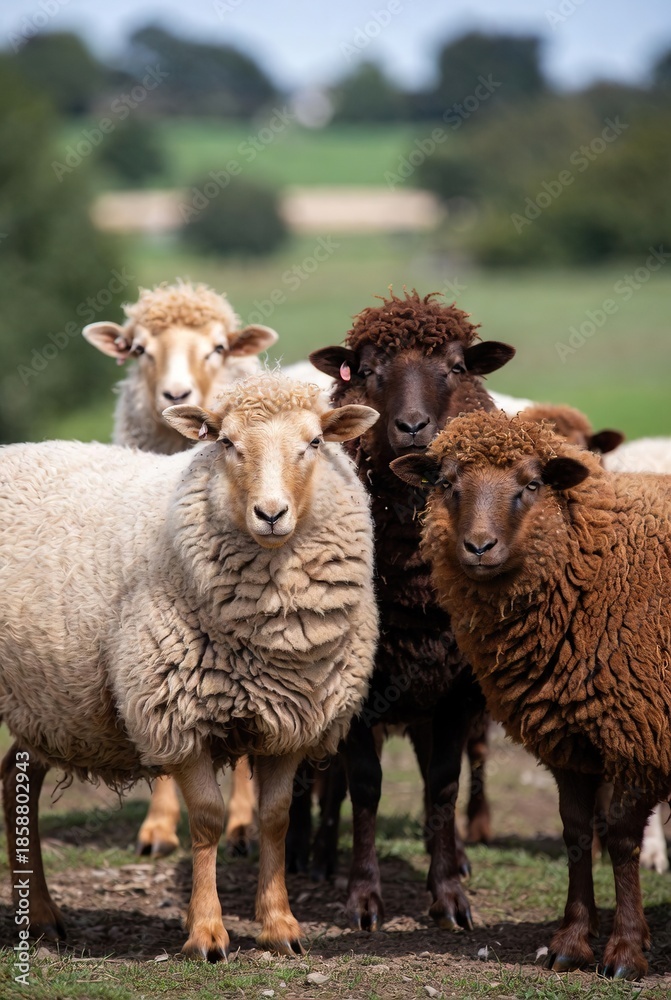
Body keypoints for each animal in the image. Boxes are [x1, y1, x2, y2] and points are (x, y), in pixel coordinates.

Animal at [0, 372, 379, 958]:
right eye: (225, 441)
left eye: (315, 442)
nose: (271, 515)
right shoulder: (176, 712)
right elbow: (207, 820)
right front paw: (206, 932)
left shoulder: (294, 718)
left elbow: (275, 819)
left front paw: (280, 926)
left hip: (48, 706)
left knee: (15, 780)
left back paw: (40, 916)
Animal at [308, 289, 515, 930]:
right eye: (369, 371)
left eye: (456, 367)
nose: (414, 427)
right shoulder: (355, 687)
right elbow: (365, 786)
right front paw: (362, 898)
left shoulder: (455, 688)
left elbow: (443, 785)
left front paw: (449, 894)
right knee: (320, 780)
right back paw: (311, 857)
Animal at [392, 409, 671, 980]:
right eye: (446, 483)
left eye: (532, 485)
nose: (478, 547)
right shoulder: (570, 739)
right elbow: (576, 833)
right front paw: (571, 942)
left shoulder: (639, 734)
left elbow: (621, 838)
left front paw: (625, 950)